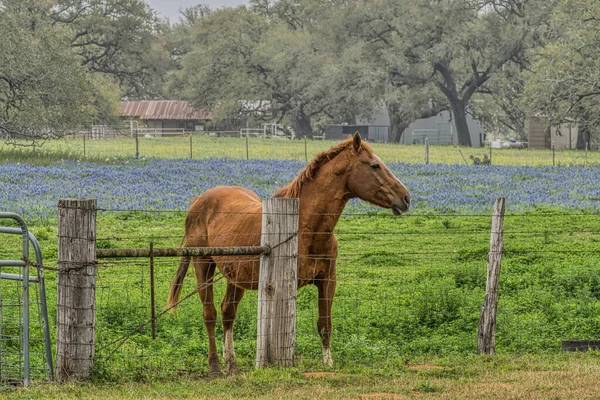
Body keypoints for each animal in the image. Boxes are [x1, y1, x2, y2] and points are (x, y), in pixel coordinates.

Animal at [166, 133, 410, 376]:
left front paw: (328, 363)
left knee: (228, 312)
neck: (305, 226)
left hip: (234, 277)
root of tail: (199, 200)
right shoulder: (286, 283)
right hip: (203, 265)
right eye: (374, 165)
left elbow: (325, 323)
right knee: (210, 314)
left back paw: (232, 365)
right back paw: (215, 366)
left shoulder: (328, 281)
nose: (406, 198)